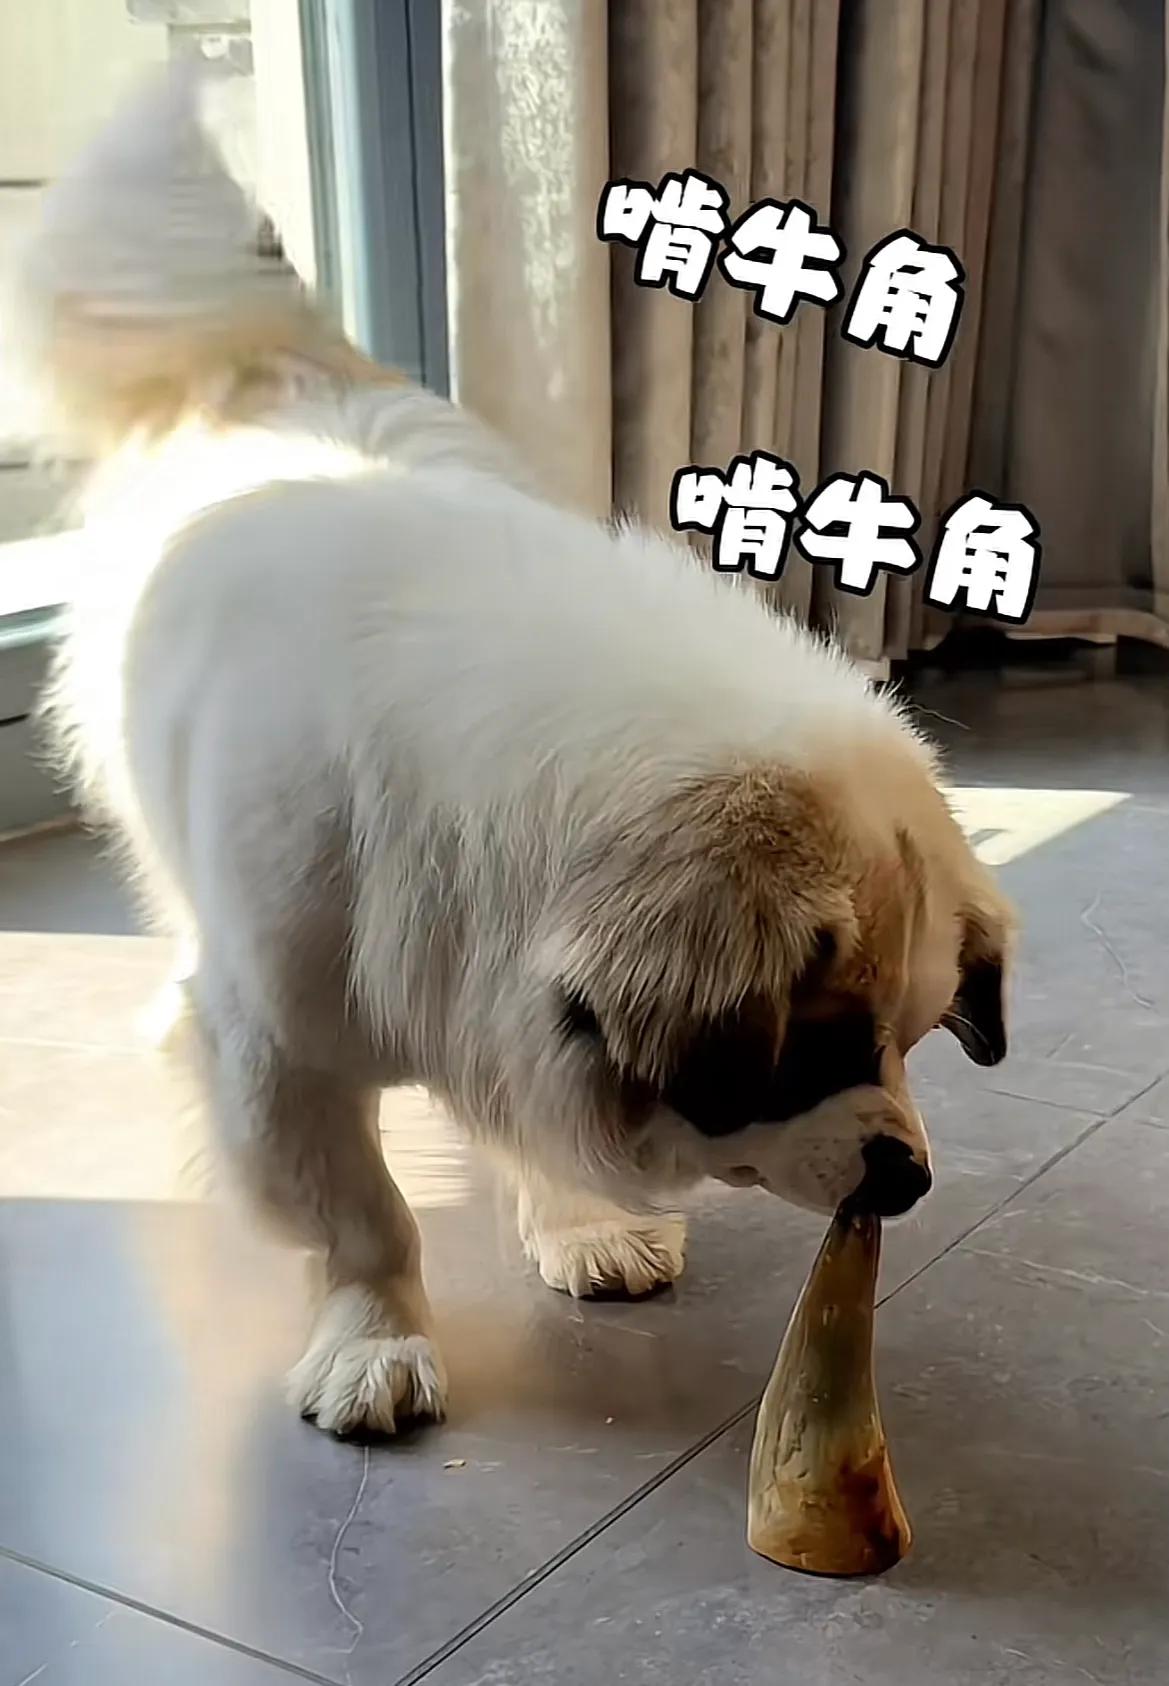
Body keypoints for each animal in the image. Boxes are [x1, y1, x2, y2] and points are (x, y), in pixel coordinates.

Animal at [18, 66, 1014, 1435]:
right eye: (811, 1054)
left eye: (912, 1043)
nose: (905, 1176)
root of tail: (267, 364)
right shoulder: (285, 1054)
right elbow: (361, 1217)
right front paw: (375, 1338)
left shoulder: (493, 990)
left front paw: (582, 1222)